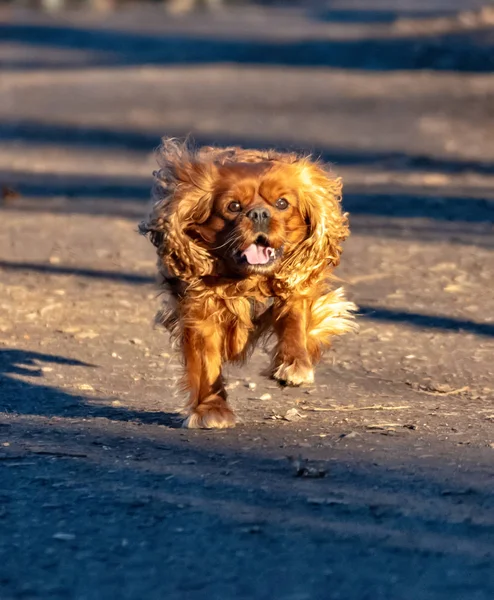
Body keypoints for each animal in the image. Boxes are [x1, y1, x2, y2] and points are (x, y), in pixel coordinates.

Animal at [139, 138, 356, 428]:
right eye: (233, 207)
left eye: (282, 203)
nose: (259, 213)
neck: (248, 280)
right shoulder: (200, 310)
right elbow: (206, 361)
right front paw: (211, 409)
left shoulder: (295, 289)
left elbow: (295, 323)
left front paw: (294, 366)